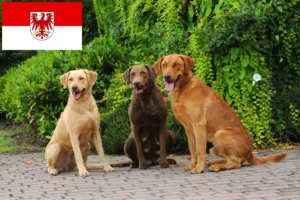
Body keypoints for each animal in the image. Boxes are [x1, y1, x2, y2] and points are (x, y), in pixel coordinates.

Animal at [155, 54, 286, 173]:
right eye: (164, 65)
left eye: (176, 64)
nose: (166, 77)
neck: (183, 89)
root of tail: (250, 152)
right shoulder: (188, 129)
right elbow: (192, 149)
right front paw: (193, 165)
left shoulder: (199, 125)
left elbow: (200, 150)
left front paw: (199, 168)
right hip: (214, 148)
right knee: (233, 160)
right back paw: (215, 162)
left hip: (220, 134)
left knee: (236, 163)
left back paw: (216, 166)